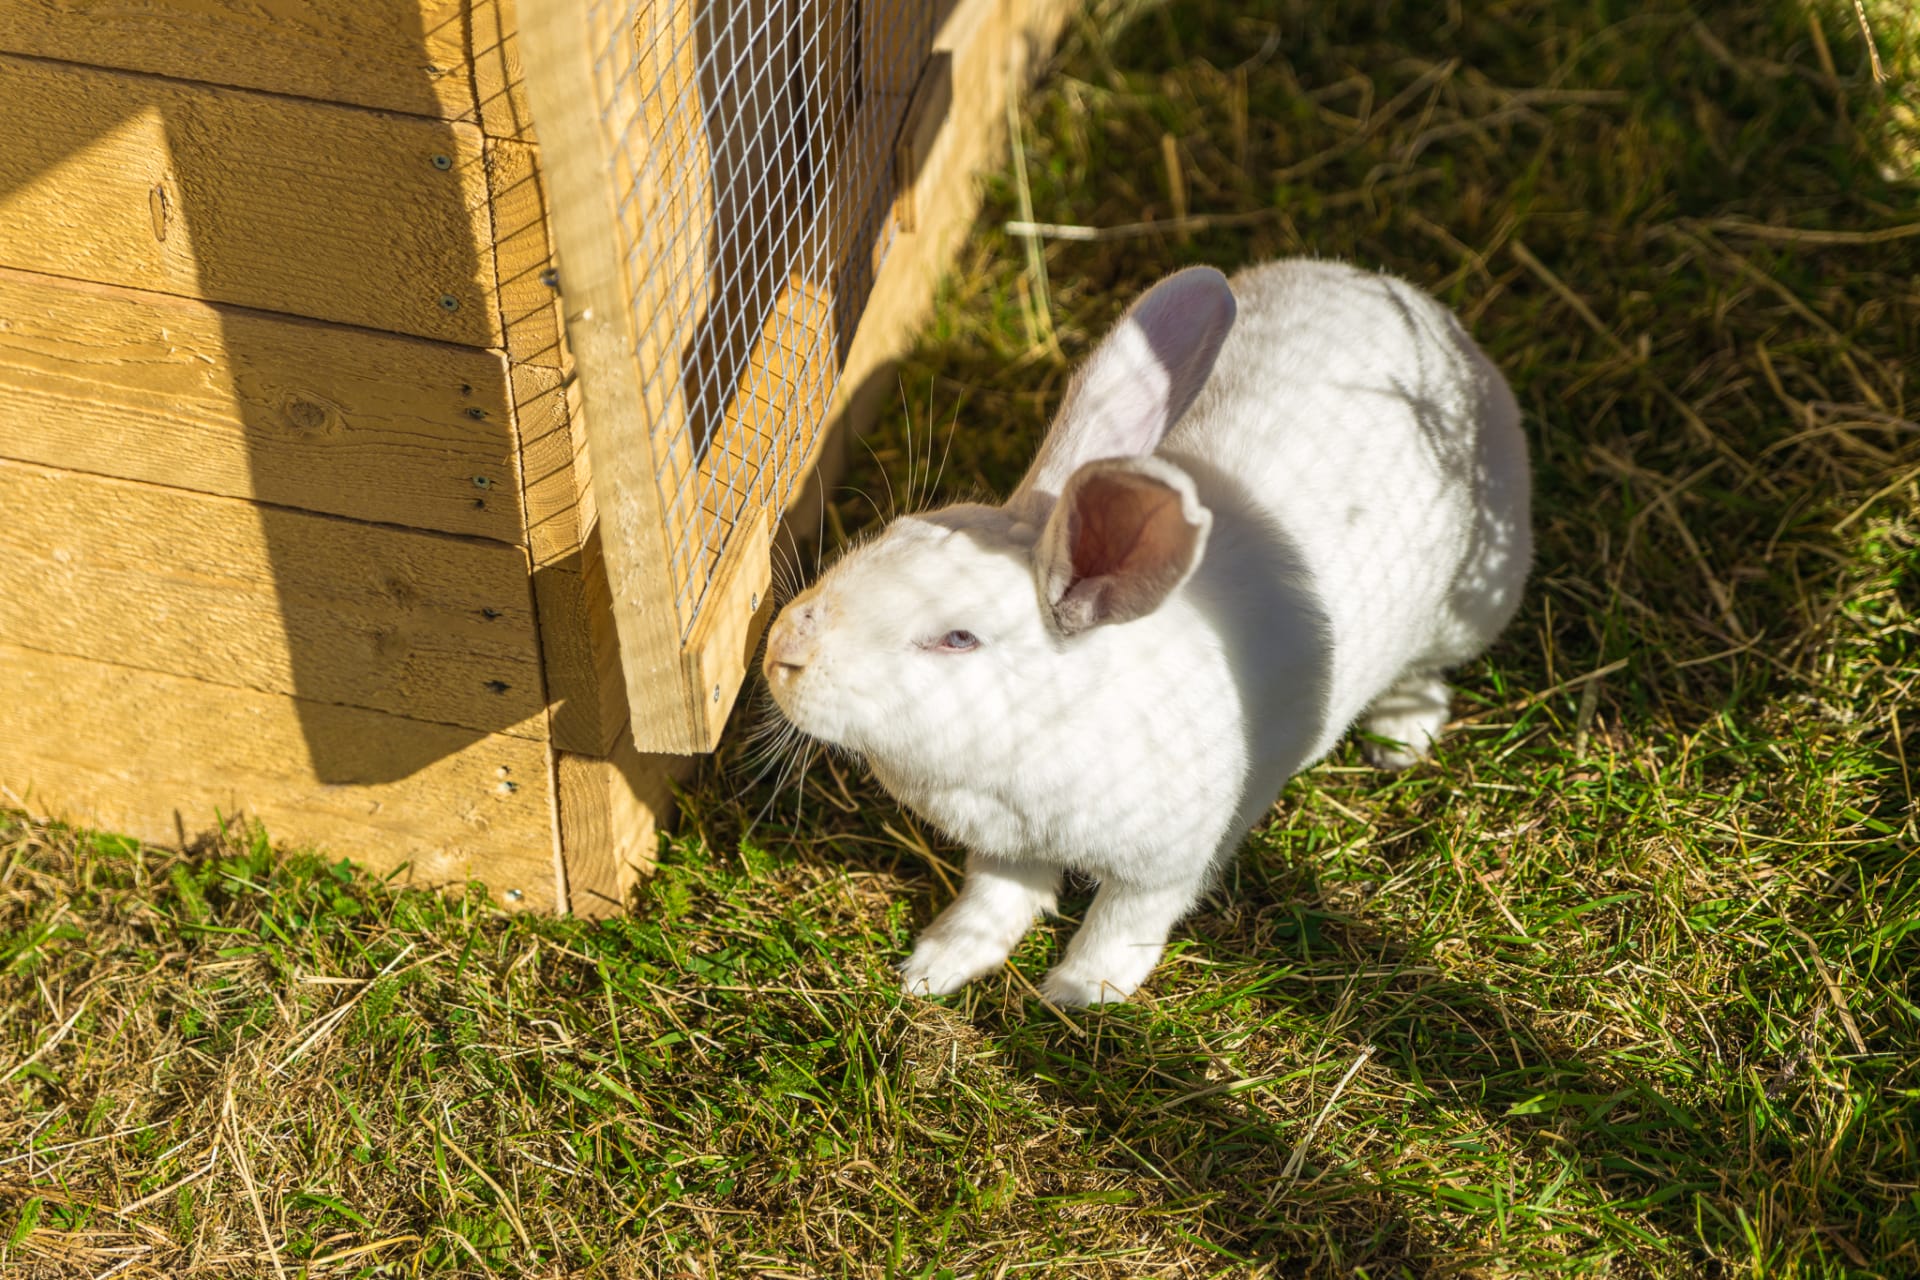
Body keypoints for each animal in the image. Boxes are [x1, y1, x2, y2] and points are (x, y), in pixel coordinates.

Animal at [764, 257, 1528, 997]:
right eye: (891, 534)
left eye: (958, 639)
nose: (781, 650)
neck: (1047, 727)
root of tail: (1405, 297)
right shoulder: (1006, 849)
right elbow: (994, 899)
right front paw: (937, 967)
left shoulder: (1165, 867)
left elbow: (1124, 922)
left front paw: (1080, 993)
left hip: (1469, 610)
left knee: (1429, 669)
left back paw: (1402, 734)